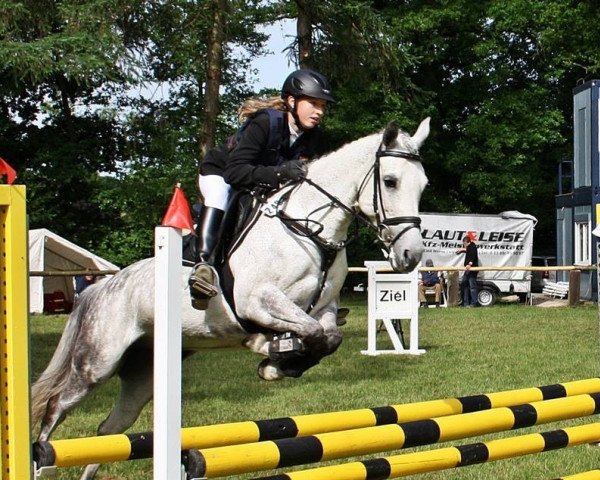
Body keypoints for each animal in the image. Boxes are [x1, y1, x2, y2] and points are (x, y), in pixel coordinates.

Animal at [30, 118, 428, 478]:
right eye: (390, 182)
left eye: (422, 185)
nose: (410, 255)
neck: (308, 228)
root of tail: (102, 286)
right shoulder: (258, 300)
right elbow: (310, 333)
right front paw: (272, 353)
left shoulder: (325, 307)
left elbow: (328, 337)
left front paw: (277, 360)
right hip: (98, 362)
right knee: (55, 411)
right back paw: (41, 461)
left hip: (143, 374)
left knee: (108, 431)